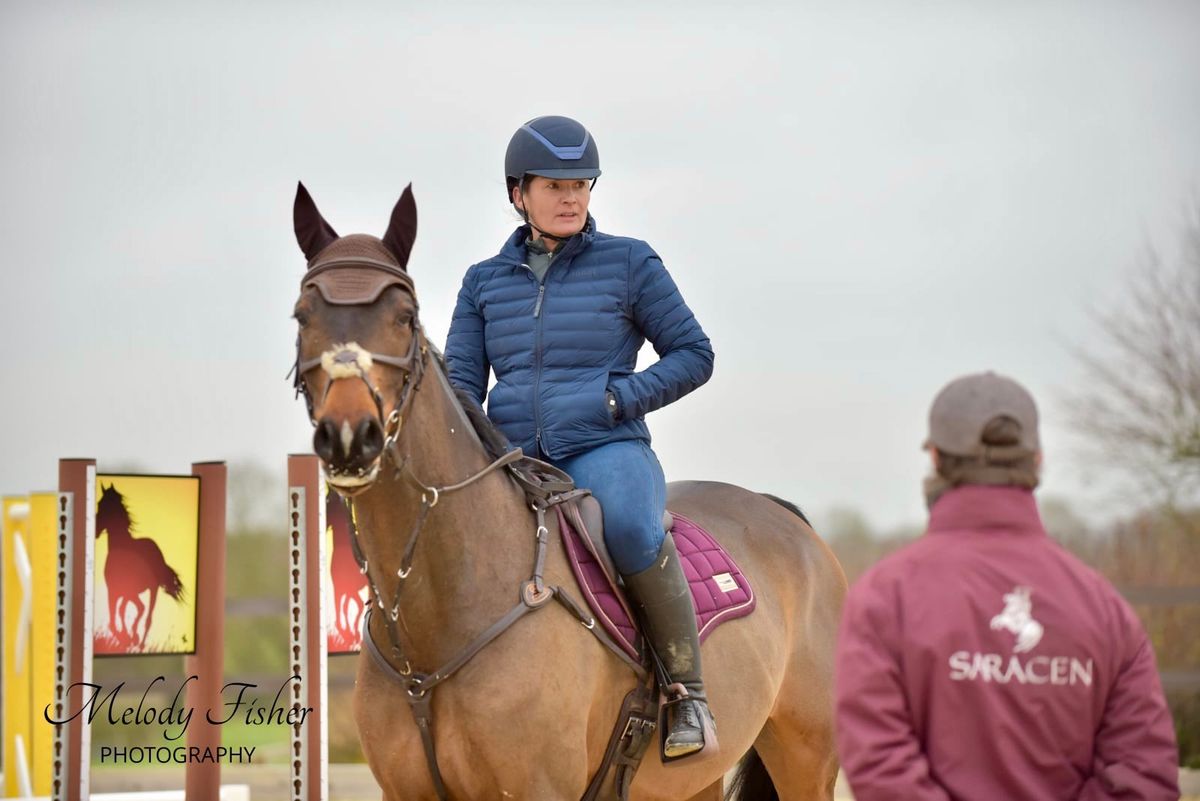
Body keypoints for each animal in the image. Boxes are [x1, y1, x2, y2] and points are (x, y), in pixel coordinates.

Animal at [93, 482, 183, 652]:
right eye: (99, 504)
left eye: (104, 505)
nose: (95, 530)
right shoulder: (115, 591)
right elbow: (115, 619)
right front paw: (126, 637)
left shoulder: (124, 591)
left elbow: (123, 616)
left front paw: (129, 638)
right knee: (130, 610)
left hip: (152, 589)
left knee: (147, 616)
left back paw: (139, 643)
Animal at [290, 183, 849, 801]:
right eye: (302, 316)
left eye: (404, 317)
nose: (350, 436)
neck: (436, 621)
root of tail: (783, 516)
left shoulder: (538, 789)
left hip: (805, 756)